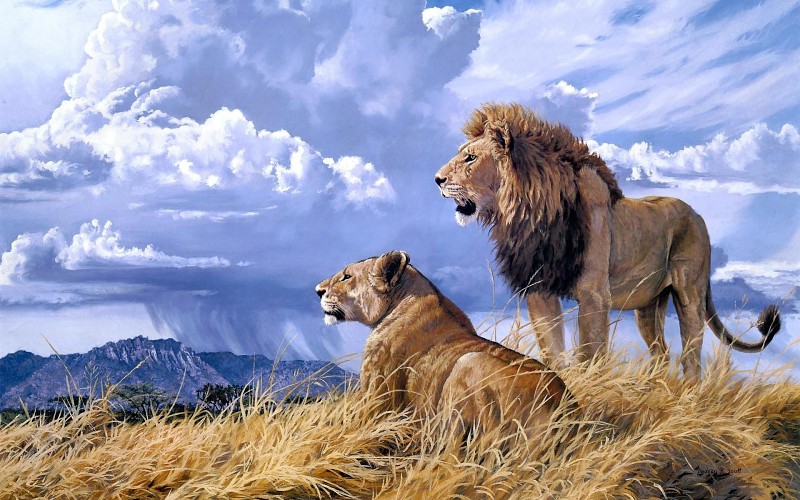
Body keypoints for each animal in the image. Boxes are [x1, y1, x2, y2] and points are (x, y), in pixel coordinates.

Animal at [434, 103, 781, 379]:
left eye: (469, 158)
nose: (437, 179)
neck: (531, 213)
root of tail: (697, 215)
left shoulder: (593, 295)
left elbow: (589, 354)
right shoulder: (540, 290)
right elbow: (552, 350)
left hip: (689, 294)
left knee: (691, 355)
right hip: (648, 306)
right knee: (661, 354)